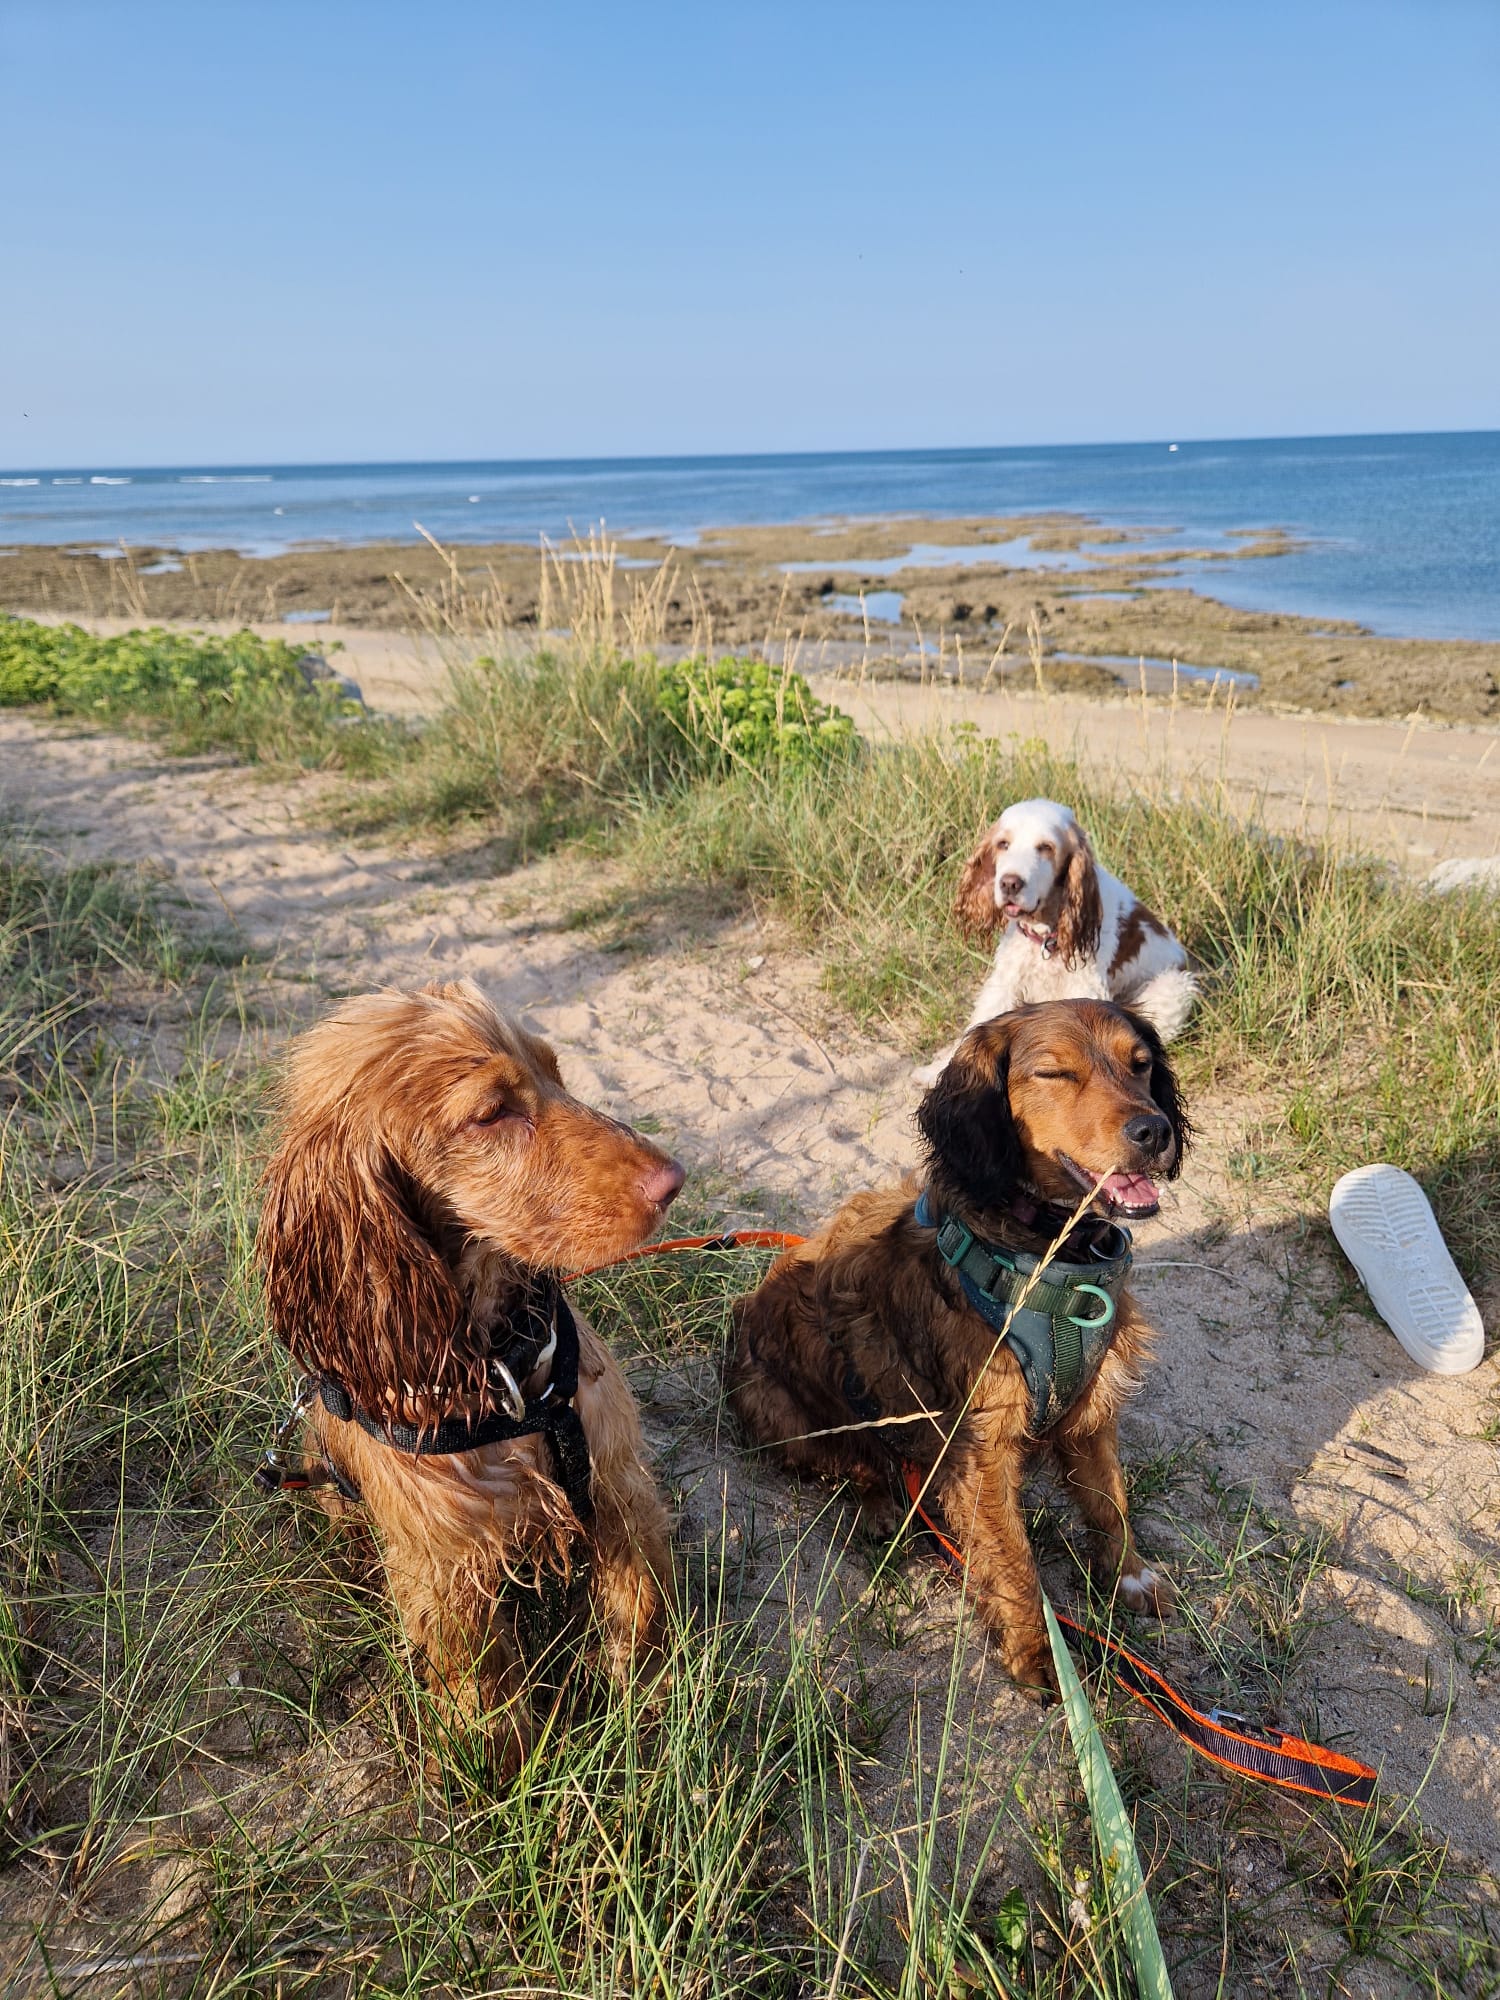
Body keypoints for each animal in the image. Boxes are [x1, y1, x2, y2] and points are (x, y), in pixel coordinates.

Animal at [256, 979, 681, 1772]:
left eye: (556, 1071)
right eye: (492, 1113)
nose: (675, 1181)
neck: (509, 1387)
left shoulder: (615, 1484)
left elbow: (639, 1609)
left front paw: (650, 1708)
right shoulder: (445, 1567)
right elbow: (484, 1689)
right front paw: (505, 1774)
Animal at [728, 999, 1187, 1695]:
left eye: (1140, 1065)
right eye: (1055, 1073)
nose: (1154, 1131)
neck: (1049, 1255)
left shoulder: (1090, 1409)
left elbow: (1111, 1503)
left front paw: (1130, 1577)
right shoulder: (981, 1450)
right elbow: (1017, 1563)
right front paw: (1039, 1658)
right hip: (781, 1410)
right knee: (855, 1462)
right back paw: (881, 1507)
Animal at [914, 799, 1195, 1083]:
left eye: (1046, 847)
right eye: (1003, 844)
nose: (1010, 883)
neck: (1045, 933)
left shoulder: (1085, 986)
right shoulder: (1006, 980)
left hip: (1174, 986)